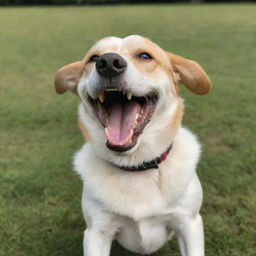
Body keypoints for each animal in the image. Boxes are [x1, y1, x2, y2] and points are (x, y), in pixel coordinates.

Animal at [54, 34, 212, 256]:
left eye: (145, 56)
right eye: (94, 58)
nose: (108, 63)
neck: (135, 166)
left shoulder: (189, 223)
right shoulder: (97, 231)